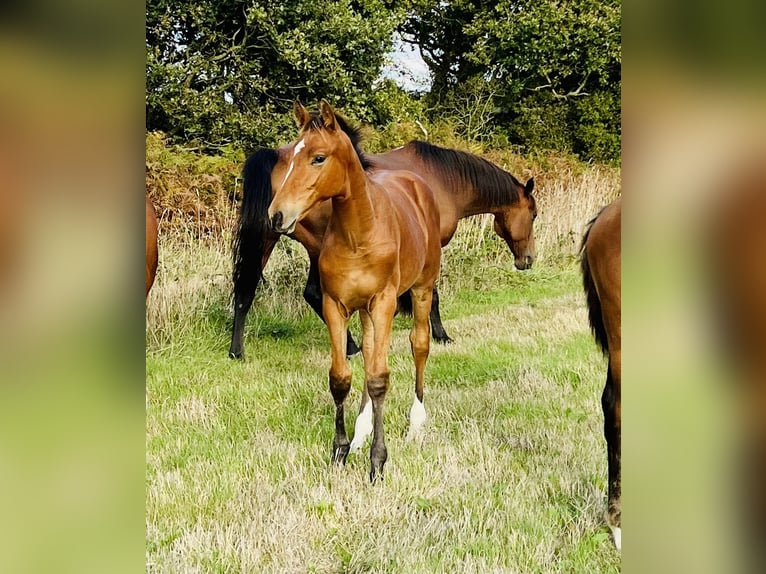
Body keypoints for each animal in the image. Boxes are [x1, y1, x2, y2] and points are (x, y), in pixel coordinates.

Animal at [230, 118, 537, 360]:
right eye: (533, 214)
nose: (529, 259)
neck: (443, 179)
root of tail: (276, 156)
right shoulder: (430, 247)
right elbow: (432, 295)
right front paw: (440, 335)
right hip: (318, 249)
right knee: (314, 293)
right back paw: (351, 347)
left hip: (267, 237)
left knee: (246, 289)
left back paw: (236, 351)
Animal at [268, 100, 442, 482]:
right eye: (288, 156)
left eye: (318, 157)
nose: (276, 215)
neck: (359, 233)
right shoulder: (336, 304)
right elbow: (341, 377)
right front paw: (341, 450)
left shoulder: (384, 302)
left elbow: (379, 378)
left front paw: (378, 461)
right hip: (363, 310)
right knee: (369, 350)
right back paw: (362, 431)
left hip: (422, 288)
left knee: (419, 345)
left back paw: (416, 423)